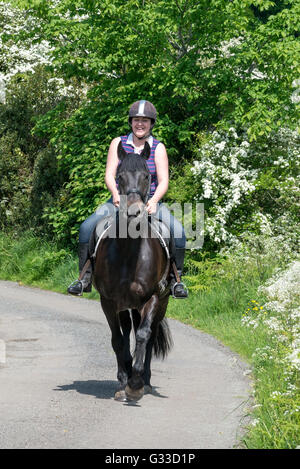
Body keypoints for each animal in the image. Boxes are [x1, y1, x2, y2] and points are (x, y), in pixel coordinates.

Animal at [94, 141, 173, 400]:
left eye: (147, 176)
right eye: (119, 177)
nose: (134, 213)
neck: (129, 254)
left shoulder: (153, 296)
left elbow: (143, 336)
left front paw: (136, 383)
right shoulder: (108, 301)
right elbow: (118, 340)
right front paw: (123, 382)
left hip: (161, 301)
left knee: (147, 334)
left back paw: (144, 380)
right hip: (126, 305)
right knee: (127, 329)